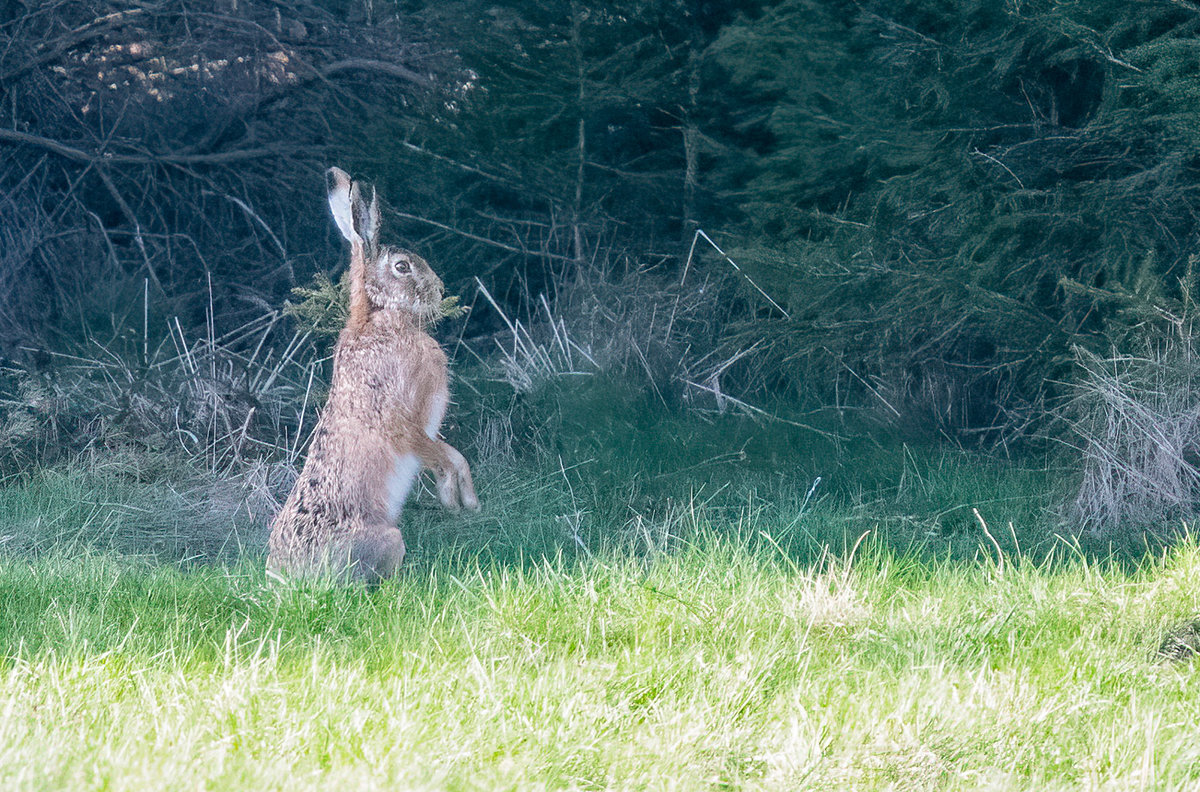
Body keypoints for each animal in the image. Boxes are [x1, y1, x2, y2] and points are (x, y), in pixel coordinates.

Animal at [267, 167, 479, 584]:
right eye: (402, 267)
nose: (440, 289)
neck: (380, 317)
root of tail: (288, 578)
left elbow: (452, 454)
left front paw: (466, 504)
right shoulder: (407, 420)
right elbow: (444, 455)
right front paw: (458, 500)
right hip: (389, 541)